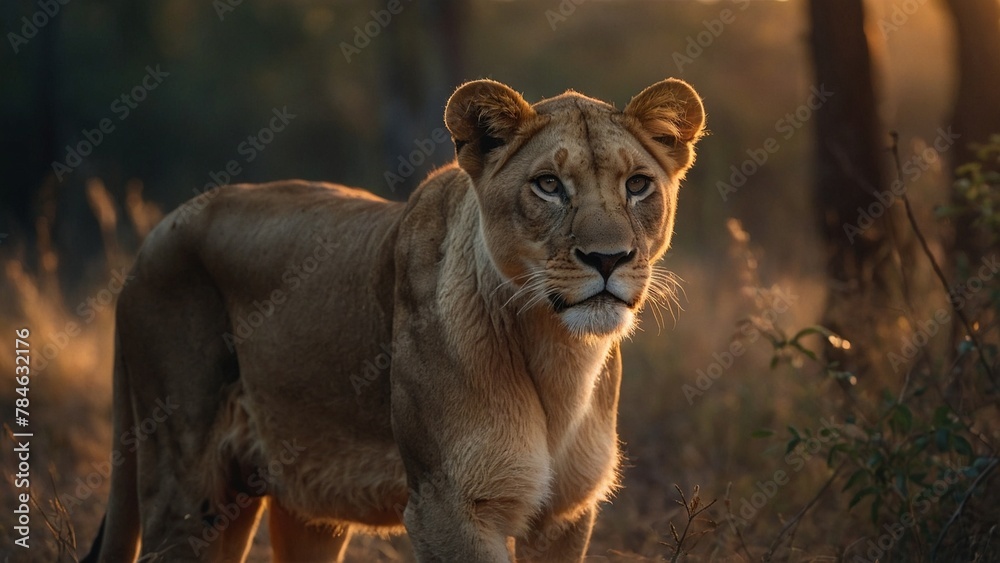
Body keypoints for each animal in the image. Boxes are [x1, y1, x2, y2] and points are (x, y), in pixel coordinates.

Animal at [82, 77, 705, 562]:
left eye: (638, 184)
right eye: (548, 185)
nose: (608, 258)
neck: (557, 357)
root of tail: (156, 236)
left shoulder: (566, 516)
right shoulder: (448, 507)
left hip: (299, 504)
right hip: (186, 489)